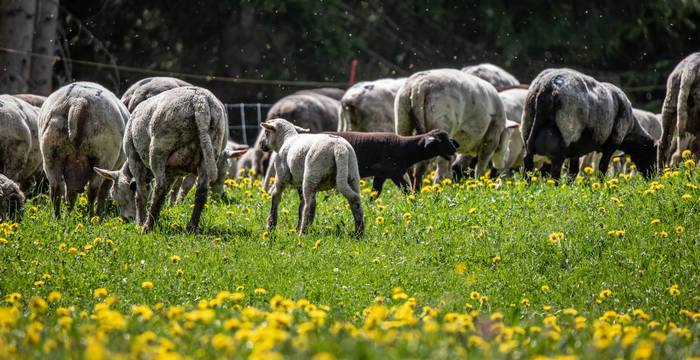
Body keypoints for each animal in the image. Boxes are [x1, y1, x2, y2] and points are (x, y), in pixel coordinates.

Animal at [38, 81, 130, 217]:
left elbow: (70, 194)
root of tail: (78, 102)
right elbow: (104, 192)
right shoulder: (115, 167)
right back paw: (91, 216)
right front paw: (100, 214)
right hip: (103, 156)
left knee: (56, 189)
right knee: (93, 189)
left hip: (51, 153)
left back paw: (59, 218)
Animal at [524, 68, 660, 179]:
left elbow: (573, 172)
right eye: (654, 156)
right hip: (566, 132)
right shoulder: (612, 143)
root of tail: (546, 88)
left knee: (529, 161)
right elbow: (602, 168)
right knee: (556, 166)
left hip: (528, 127)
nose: (653, 177)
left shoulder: (576, 149)